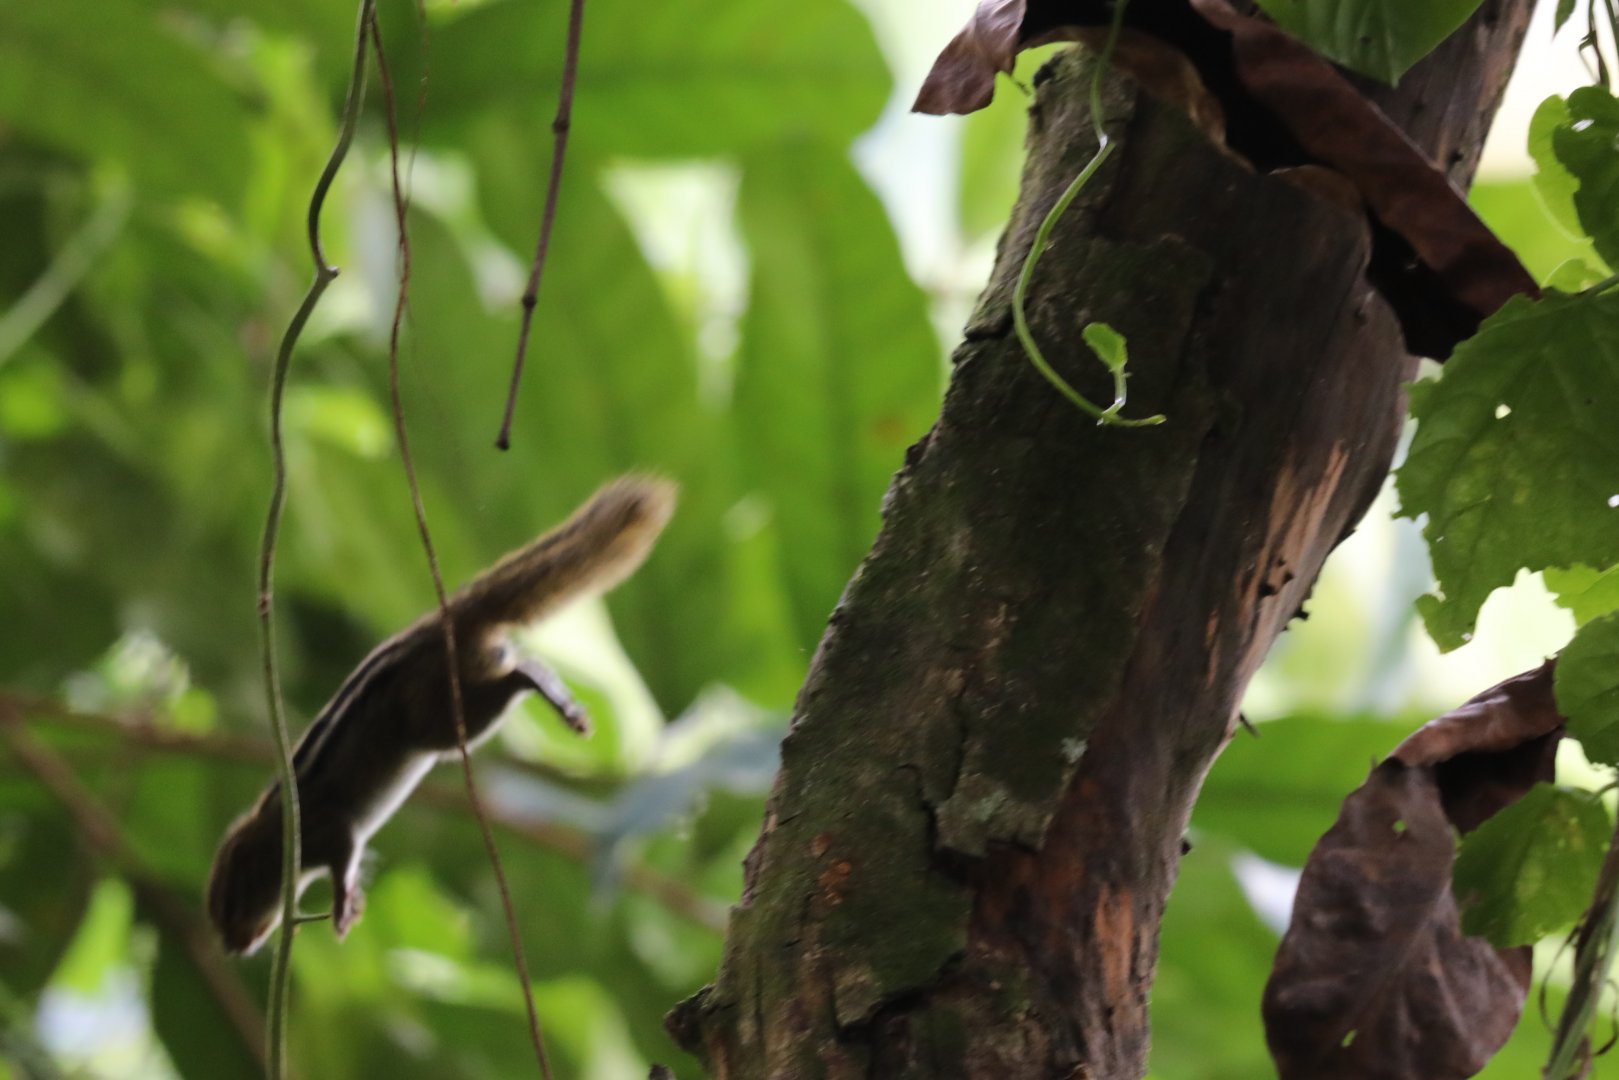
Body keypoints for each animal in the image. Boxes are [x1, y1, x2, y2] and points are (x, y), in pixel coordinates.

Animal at [206, 475, 676, 956]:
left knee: (520, 674)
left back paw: (550, 691)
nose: (231, 948)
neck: (275, 834)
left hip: (442, 718)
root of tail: (448, 620)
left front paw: (340, 907)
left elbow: (345, 858)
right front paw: (351, 903)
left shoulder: (330, 830)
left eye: (231, 902)